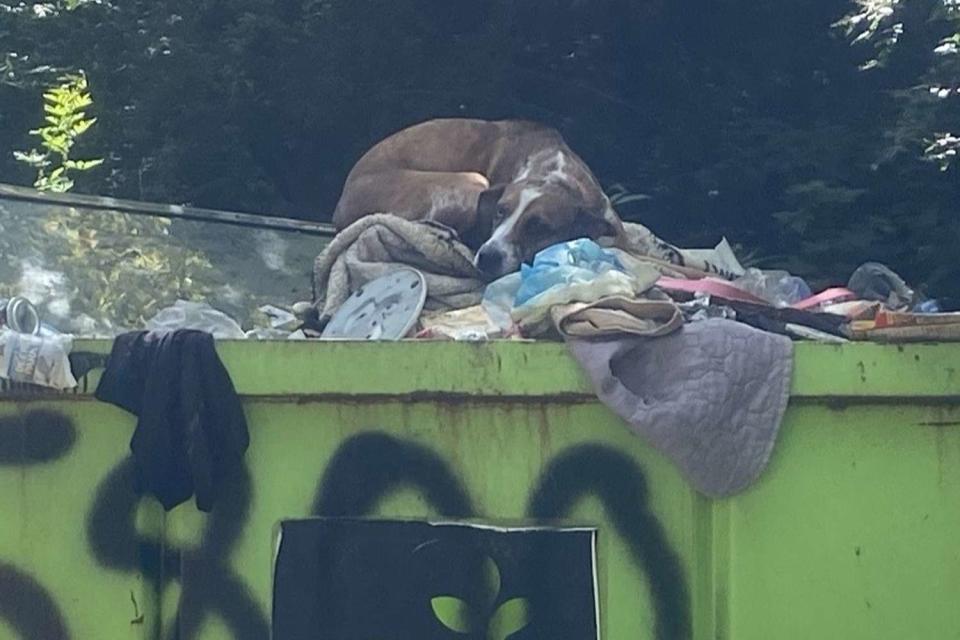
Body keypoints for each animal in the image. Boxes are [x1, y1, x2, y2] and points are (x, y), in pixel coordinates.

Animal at [334, 119, 672, 278]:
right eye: (499, 211)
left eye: (538, 226)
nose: (487, 257)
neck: (555, 172)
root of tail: (341, 204)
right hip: (469, 181)